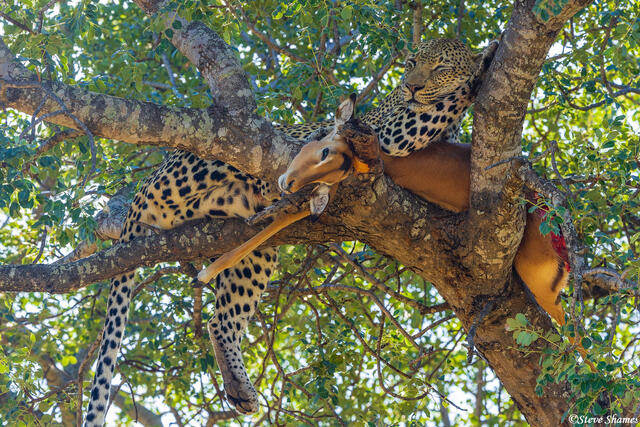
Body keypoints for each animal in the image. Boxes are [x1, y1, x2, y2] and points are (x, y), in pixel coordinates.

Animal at [84, 38, 495, 426]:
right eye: (410, 64)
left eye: (439, 67)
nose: (411, 86)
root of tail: (144, 184)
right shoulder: (389, 132)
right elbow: (442, 104)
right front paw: (482, 65)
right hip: (213, 160)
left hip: (255, 250)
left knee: (222, 320)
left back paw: (239, 388)